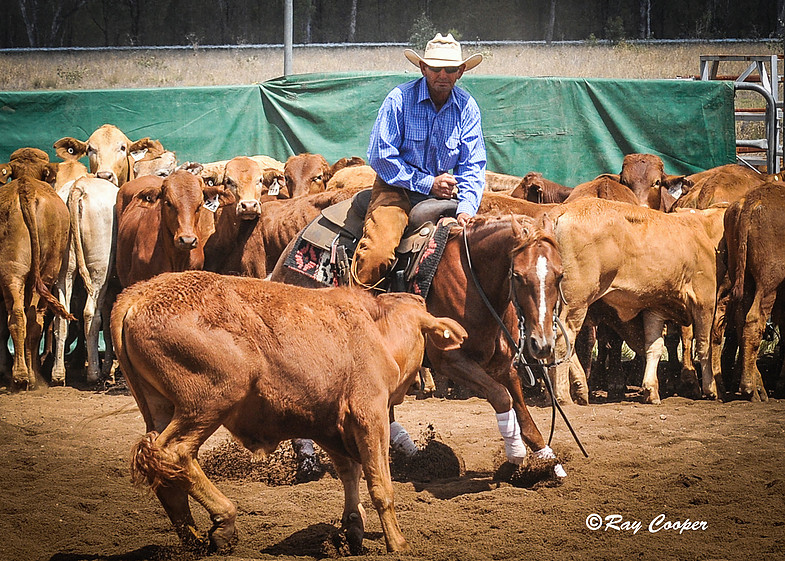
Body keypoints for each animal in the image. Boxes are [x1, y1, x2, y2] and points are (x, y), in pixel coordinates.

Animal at [111, 270, 466, 552]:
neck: (377, 332)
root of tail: (139, 294)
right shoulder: (370, 414)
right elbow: (380, 486)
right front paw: (397, 543)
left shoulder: (329, 425)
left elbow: (350, 472)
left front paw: (352, 526)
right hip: (211, 400)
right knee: (174, 453)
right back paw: (225, 521)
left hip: (160, 408)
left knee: (161, 468)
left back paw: (194, 540)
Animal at [272, 212, 568, 474]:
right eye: (517, 275)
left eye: (560, 275)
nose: (541, 343)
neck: (473, 281)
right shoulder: (450, 360)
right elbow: (501, 397)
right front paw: (515, 457)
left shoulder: (502, 363)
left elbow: (523, 412)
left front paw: (548, 461)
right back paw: (308, 462)